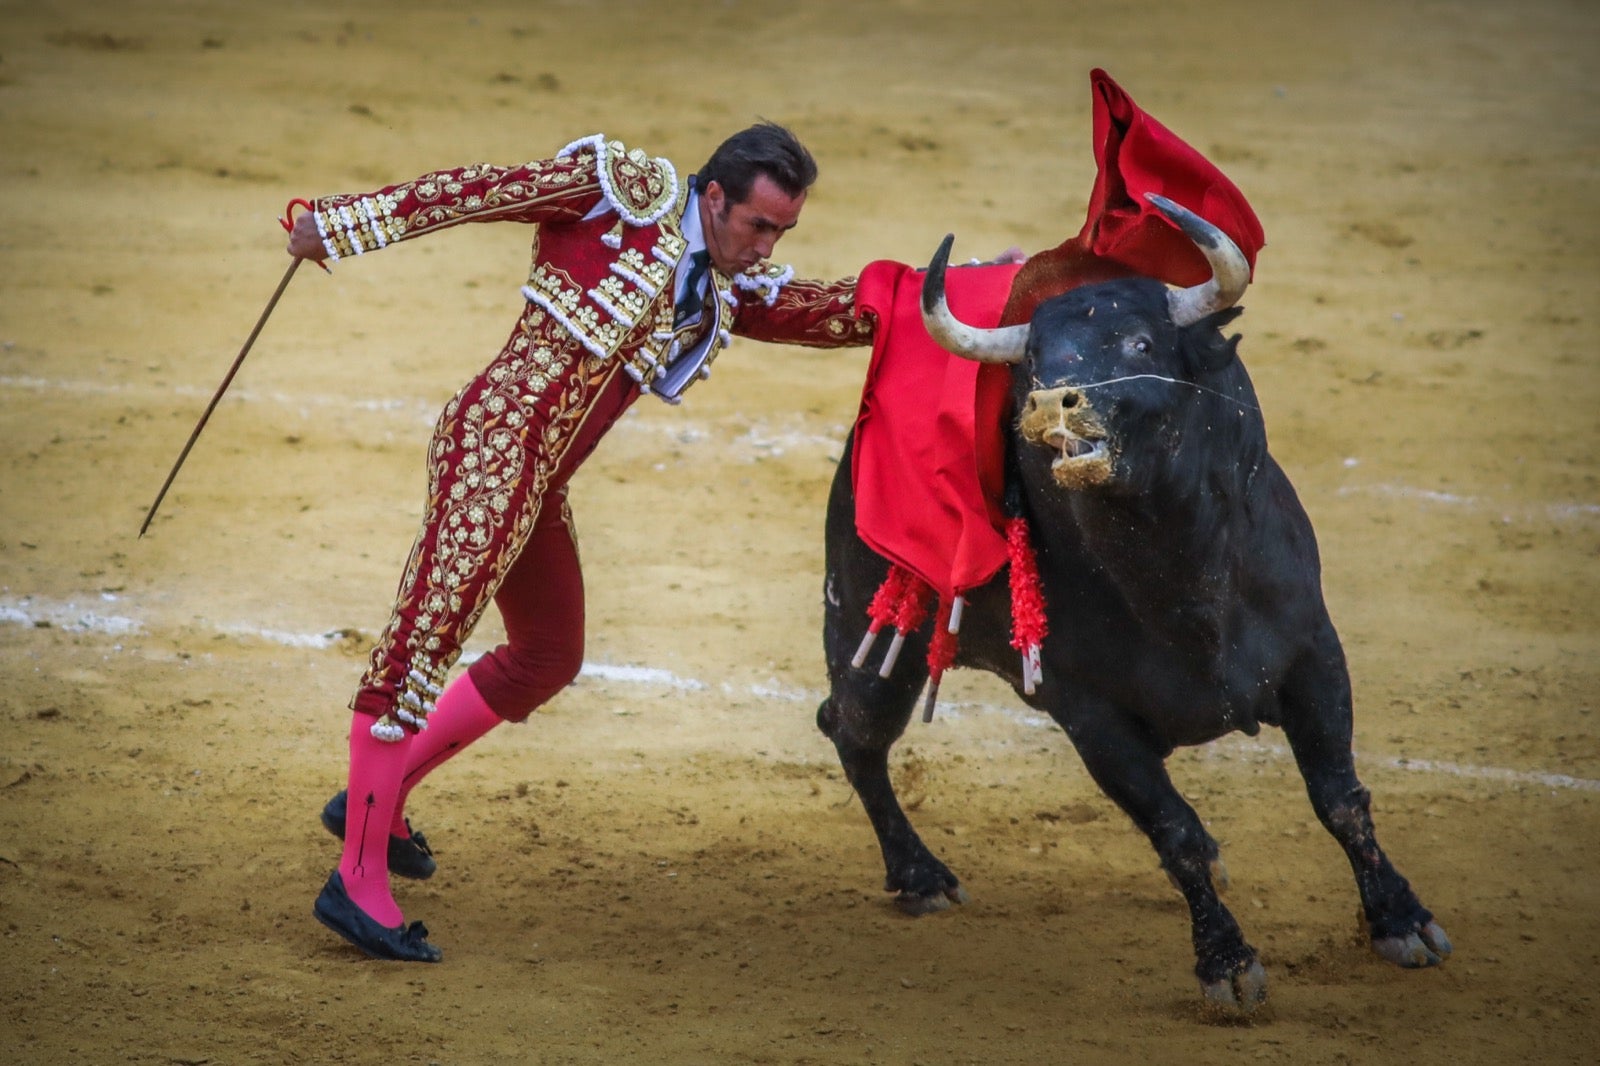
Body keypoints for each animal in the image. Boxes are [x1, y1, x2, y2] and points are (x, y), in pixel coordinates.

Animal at [819, 195, 1459, 1011]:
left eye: (1139, 341)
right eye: (1035, 360)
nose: (1050, 405)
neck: (1178, 571)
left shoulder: (1314, 653)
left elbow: (1341, 798)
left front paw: (1402, 922)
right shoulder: (1091, 715)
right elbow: (1173, 831)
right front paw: (1226, 965)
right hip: (867, 637)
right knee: (853, 731)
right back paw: (920, 876)